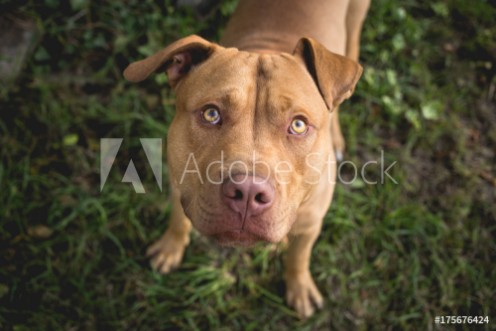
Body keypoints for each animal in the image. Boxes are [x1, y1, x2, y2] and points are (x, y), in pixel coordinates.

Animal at [125, 0, 368, 320]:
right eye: (211, 114)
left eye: (298, 125)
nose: (248, 193)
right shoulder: (180, 185)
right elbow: (179, 220)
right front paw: (170, 248)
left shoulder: (311, 224)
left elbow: (299, 256)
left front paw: (299, 287)